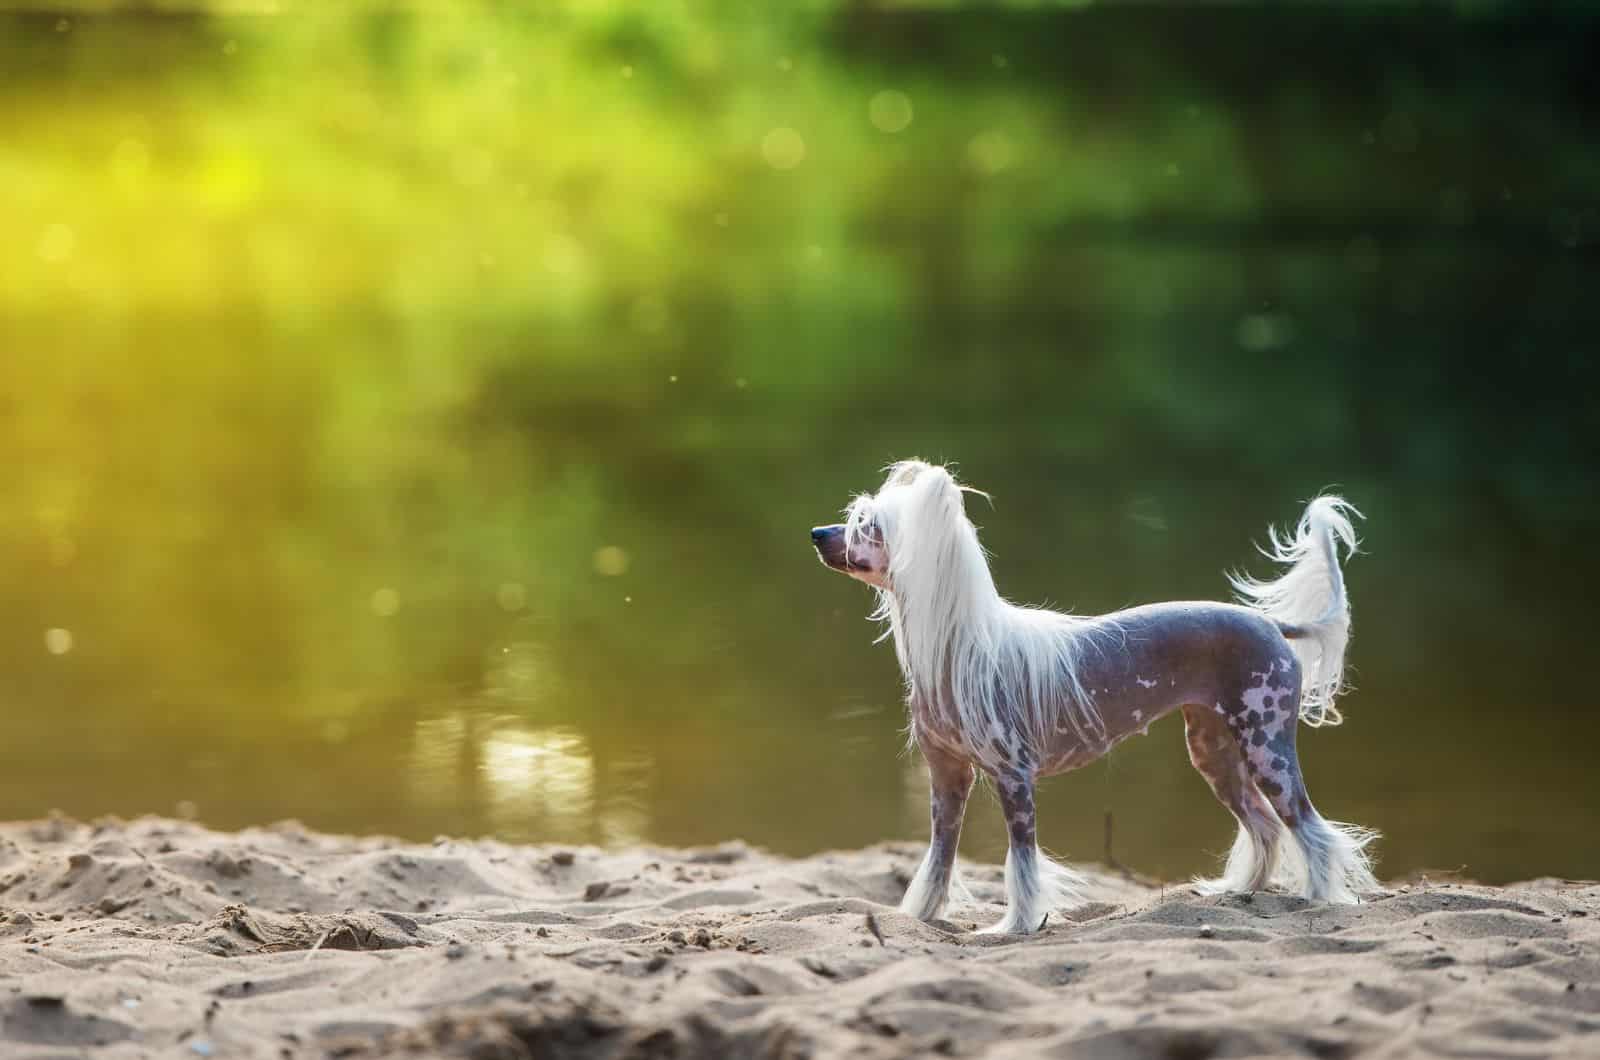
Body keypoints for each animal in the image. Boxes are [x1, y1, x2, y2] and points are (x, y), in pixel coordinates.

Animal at [812, 464, 1376, 941]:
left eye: (867, 525)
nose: (817, 533)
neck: (960, 648)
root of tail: (1269, 623)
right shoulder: (947, 779)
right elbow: (938, 860)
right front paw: (922, 917)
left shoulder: (1015, 778)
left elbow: (1021, 864)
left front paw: (1016, 926)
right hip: (1214, 751)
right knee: (1263, 823)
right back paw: (1240, 891)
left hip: (1266, 743)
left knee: (1309, 826)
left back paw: (1319, 898)